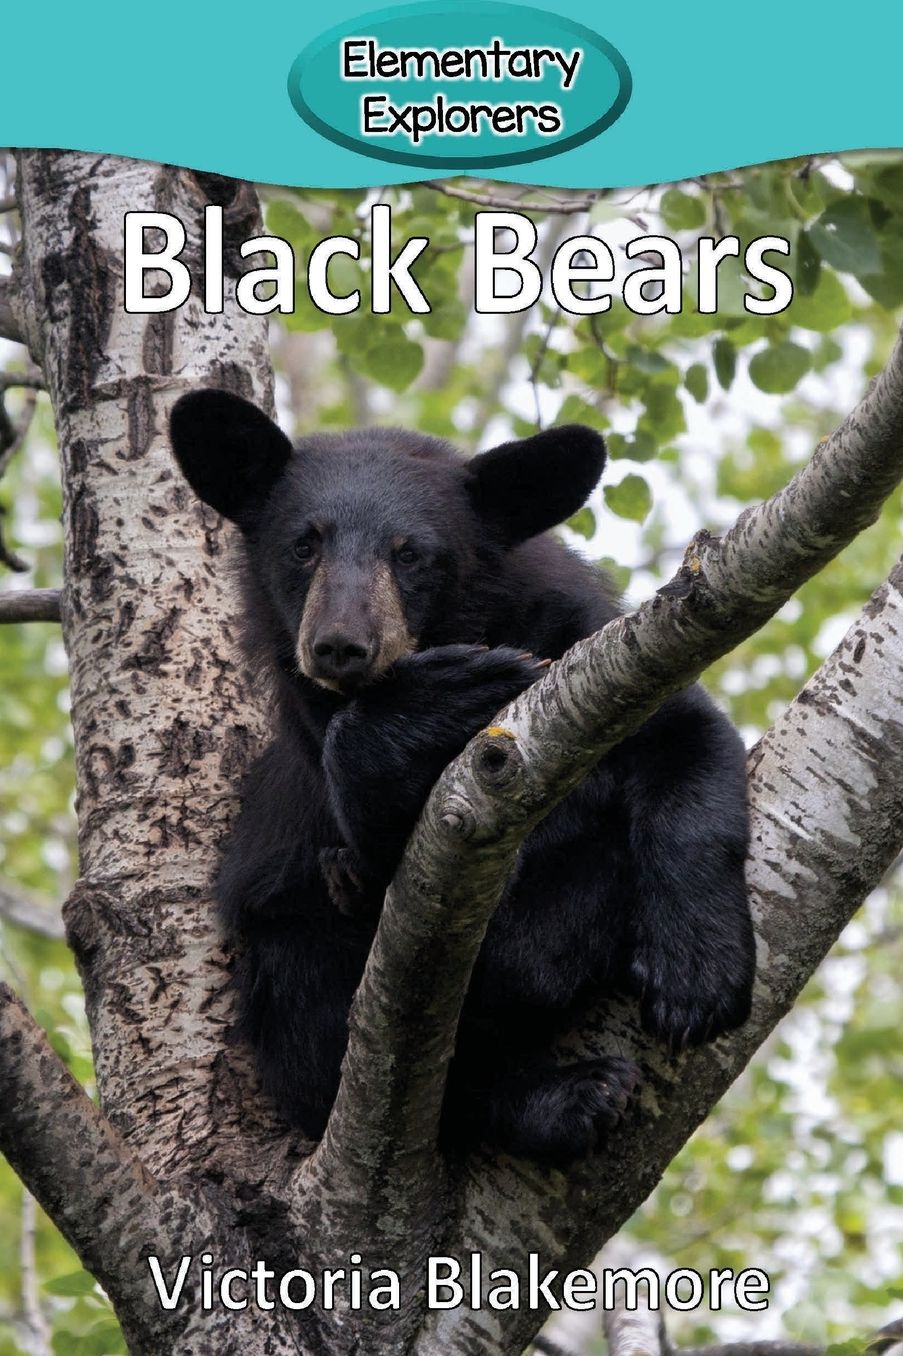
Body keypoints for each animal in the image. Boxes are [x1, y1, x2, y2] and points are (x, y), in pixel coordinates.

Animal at [169, 388, 755, 1162]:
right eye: (303, 545)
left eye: (410, 552)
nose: (339, 646)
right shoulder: (314, 754)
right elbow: (384, 840)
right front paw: (441, 697)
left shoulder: (597, 653)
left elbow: (688, 744)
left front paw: (697, 978)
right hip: (283, 952)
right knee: (325, 1035)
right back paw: (568, 1096)